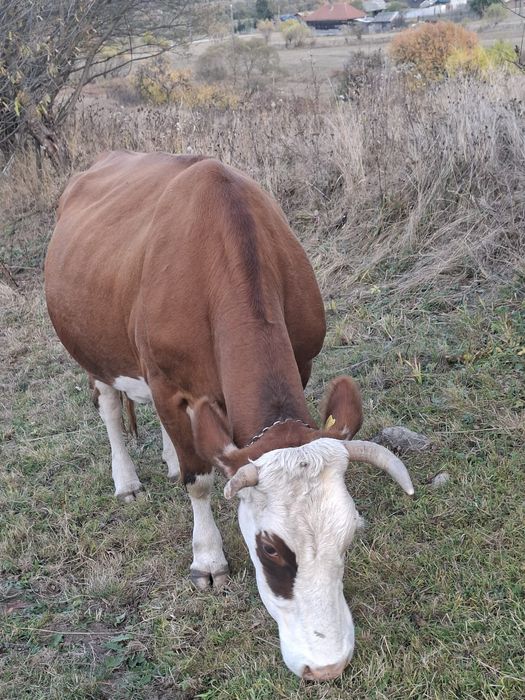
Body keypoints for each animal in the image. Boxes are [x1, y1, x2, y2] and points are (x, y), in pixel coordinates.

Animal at [44, 151, 414, 681]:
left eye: (348, 537)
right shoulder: (168, 385)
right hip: (93, 352)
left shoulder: (301, 361)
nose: (327, 667)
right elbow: (199, 481)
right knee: (111, 408)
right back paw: (128, 481)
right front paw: (208, 560)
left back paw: (168, 459)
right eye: (269, 549)